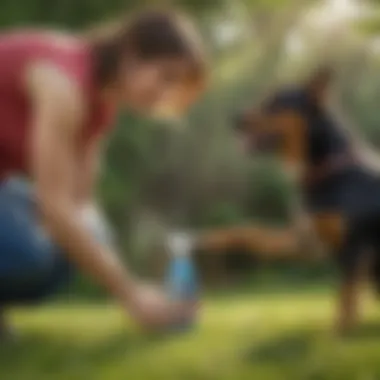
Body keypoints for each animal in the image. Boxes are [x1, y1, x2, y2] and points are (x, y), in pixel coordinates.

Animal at [196, 68, 380, 332]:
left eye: (275, 103)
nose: (235, 119)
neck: (328, 170)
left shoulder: (354, 248)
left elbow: (345, 297)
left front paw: (339, 333)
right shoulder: (304, 240)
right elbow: (251, 233)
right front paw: (215, 238)